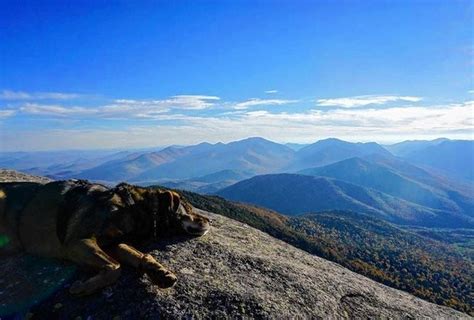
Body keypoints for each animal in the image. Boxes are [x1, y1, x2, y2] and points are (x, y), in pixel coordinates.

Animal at [0, 180, 211, 296]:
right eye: (189, 208)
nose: (209, 219)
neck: (132, 206)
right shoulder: (78, 242)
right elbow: (115, 267)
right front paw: (85, 286)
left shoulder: (113, 243)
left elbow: (140, 255)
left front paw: (159, 271)